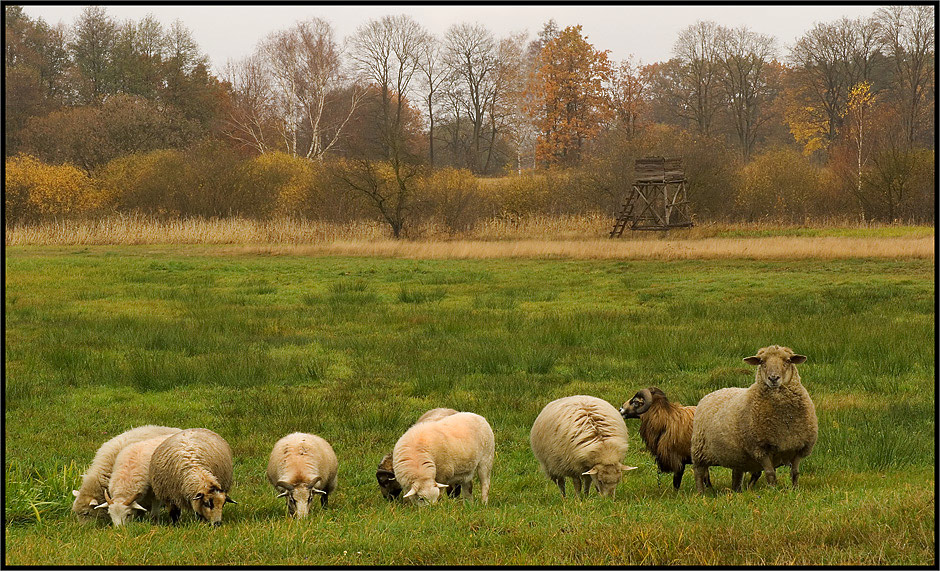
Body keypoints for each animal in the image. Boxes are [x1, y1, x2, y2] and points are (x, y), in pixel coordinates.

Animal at [692, 346, 816, 494]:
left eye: (787, 360)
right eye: (762, 361)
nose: (773, 378)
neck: (784, 420)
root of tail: (713, 393)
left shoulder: (800, 447)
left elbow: (795, 473)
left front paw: (795, 490)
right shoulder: (760, 448)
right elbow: (770, 474)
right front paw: (773, 491)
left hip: (737, 457)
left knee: (736, 474)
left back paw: (738, 491)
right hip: (699, 450)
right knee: (699, 472)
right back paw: (700, 493)